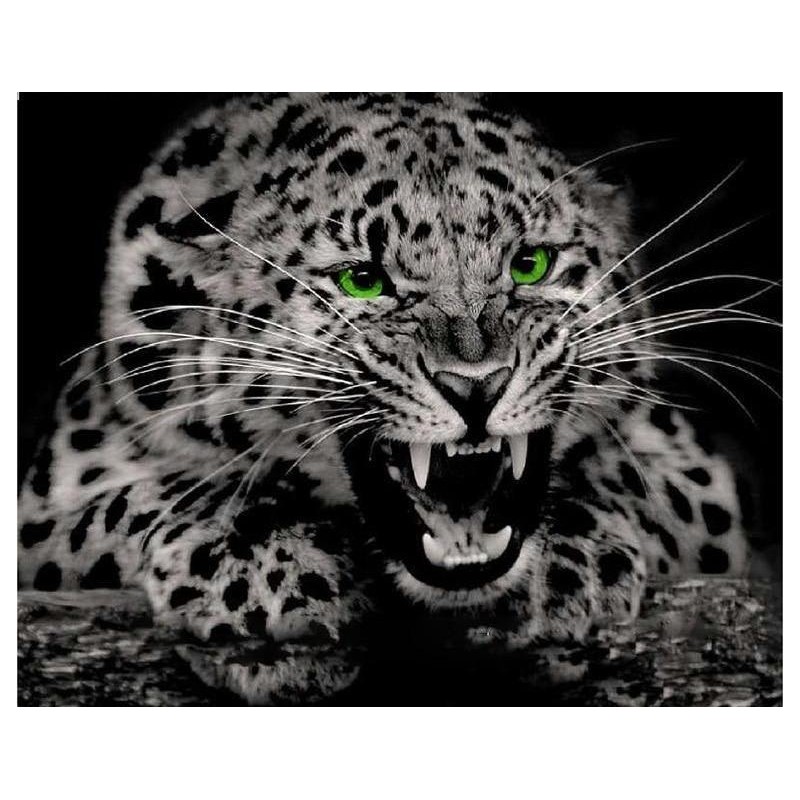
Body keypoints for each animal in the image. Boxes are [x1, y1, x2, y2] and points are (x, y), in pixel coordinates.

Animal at [18, 92, 757, 704]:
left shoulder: (697, 478)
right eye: (364, 280)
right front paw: (260, 572)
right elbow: (147, 495)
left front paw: (567, 567)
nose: (476, 384)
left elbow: (621, 472)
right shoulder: (53, 497)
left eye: (530, 265)